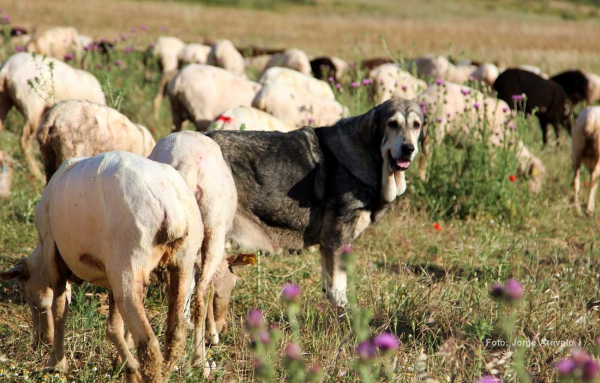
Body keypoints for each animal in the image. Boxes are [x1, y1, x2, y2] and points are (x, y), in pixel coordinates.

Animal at [0, 152, 204, 382]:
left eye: (22, 289)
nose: (40, 341)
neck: (42, 257)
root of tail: (171, 207)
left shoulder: (54, 255)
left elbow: (60, 310)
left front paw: (56, 363)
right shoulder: (113, 275)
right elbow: (116, 327)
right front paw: (122, 364)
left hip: (128, 262)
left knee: (149, 342)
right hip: (182, 261)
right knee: (176, 332)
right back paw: (163, 369)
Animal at [206, 98, 426, 306]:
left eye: (416, 125)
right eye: (392, 124)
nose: (408, 148)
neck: (370, 154)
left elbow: (329, 282)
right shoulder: (337, 236)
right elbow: (338, 285)